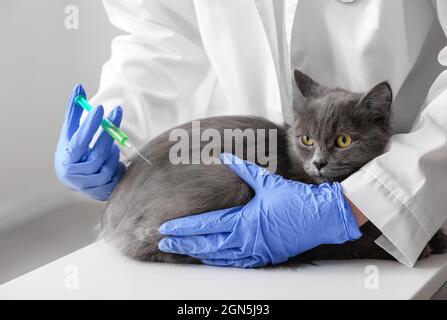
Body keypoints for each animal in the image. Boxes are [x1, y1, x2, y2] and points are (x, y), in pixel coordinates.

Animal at [101, 71, 447, 266]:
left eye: (344, 140)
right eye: (307, 138)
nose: (318, 162)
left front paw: (439, 237)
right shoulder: (325, 241)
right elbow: (360, 242)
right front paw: (421, 248)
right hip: (225, 179)